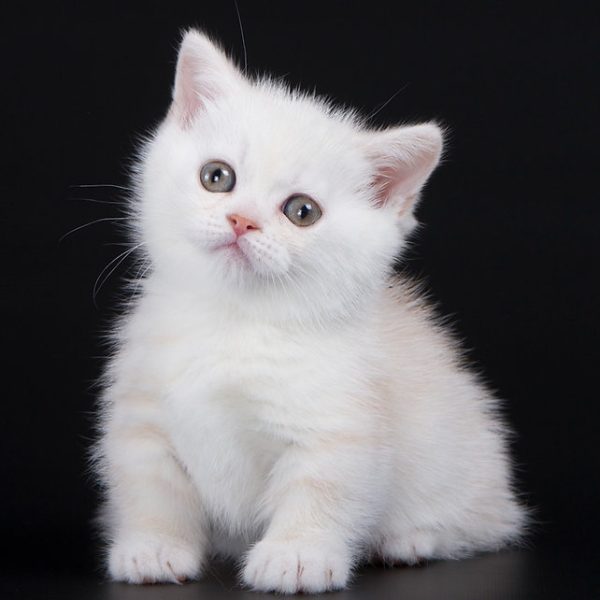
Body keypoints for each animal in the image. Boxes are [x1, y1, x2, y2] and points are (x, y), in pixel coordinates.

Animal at [94, 30, 524, 592]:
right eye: (217, 176)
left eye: (302, 211)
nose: (241, 221)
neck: (234, 323)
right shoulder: (143, 416)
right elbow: (150, 487)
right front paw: (154, 547)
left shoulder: (340, 423)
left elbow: (322, 490)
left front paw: (296, 556)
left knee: (475, 523)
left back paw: (407, 540)